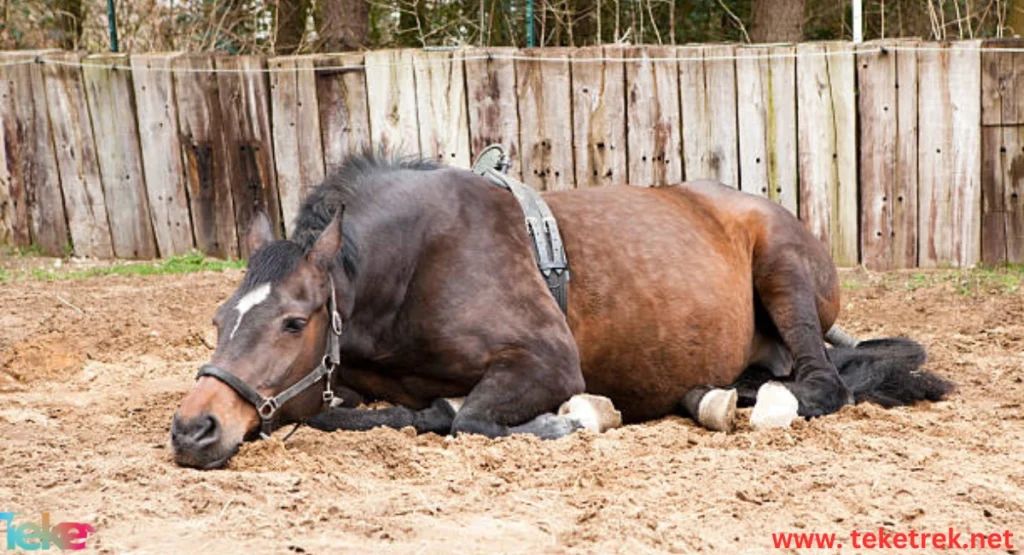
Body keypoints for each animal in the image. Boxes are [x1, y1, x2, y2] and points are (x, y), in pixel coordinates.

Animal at [172, 151, 954, 471]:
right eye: (218, 318)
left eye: (293, 321)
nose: (192, 428)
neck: (416, 264)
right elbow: (350, 413)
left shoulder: (546, 362)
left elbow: (471, 419)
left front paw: (573, 417)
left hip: (784, 271)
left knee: (819, 384)